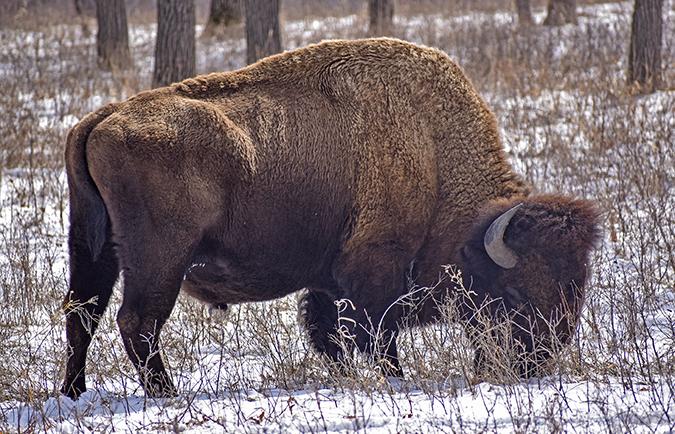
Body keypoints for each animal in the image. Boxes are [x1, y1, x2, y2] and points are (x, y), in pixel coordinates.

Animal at [62, 38, 600, 398]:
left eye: (577, 286)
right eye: (516, 292)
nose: (538, 362)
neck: (432, 151)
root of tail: (105, 117)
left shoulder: (326, 280)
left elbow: (329, 333)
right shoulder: (376, 267)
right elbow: (377, 335)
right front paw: (395, 381)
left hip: (92, 248)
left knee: (82, 314)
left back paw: (75, 393)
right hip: (160, 257)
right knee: (138, 321)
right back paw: (166, 394)